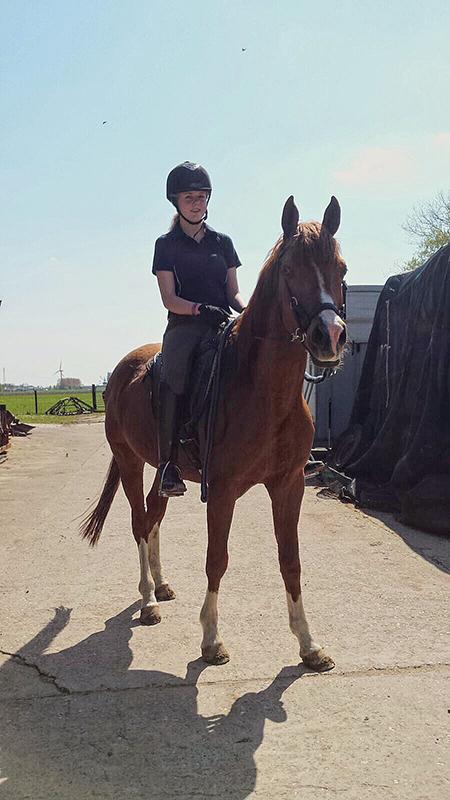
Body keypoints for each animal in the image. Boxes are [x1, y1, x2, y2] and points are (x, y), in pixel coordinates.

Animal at [81, 195, 348, 671]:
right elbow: (216, 561)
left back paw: (162, 585)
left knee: (153, 516)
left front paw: (309, 643)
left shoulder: (289, 485)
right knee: (138, 521)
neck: (262, 390)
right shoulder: (222, 491)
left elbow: (291, 561)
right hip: (130, 462)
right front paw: (210, 639)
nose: (329, 336)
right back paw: (148, 601)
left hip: (162, 470)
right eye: (289, 269)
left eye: (342, 269)